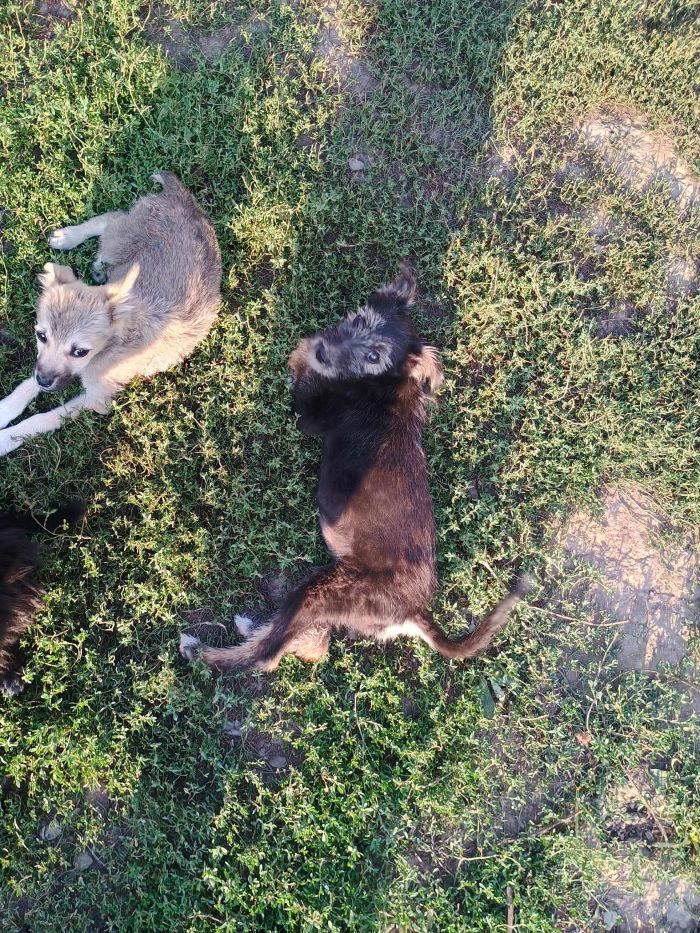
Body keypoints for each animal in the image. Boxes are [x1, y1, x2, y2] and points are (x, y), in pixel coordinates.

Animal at [0, 173, 221, 456]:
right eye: (41, 336)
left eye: (80, 351)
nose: (45, 381)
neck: (111, 345)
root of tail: (186, 201)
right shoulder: (44, 365)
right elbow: (26, 385)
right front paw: (4, 410)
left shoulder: (97, 398)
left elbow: (41, 419)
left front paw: (5, 439)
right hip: (120, 241)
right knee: (111, 218)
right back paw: (70, 238)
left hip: (119, 242)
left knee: (113, 219)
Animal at [182, 266, 532, 672]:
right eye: (360, 320)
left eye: (373, 354)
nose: (324, 349)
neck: (385, 383)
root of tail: (412, 613)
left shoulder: (312, 416)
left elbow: (304, 376)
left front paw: (302, 355)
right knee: (308, 643)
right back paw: (249, 627)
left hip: (327, 590)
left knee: (269, 655)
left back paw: (203, 650)